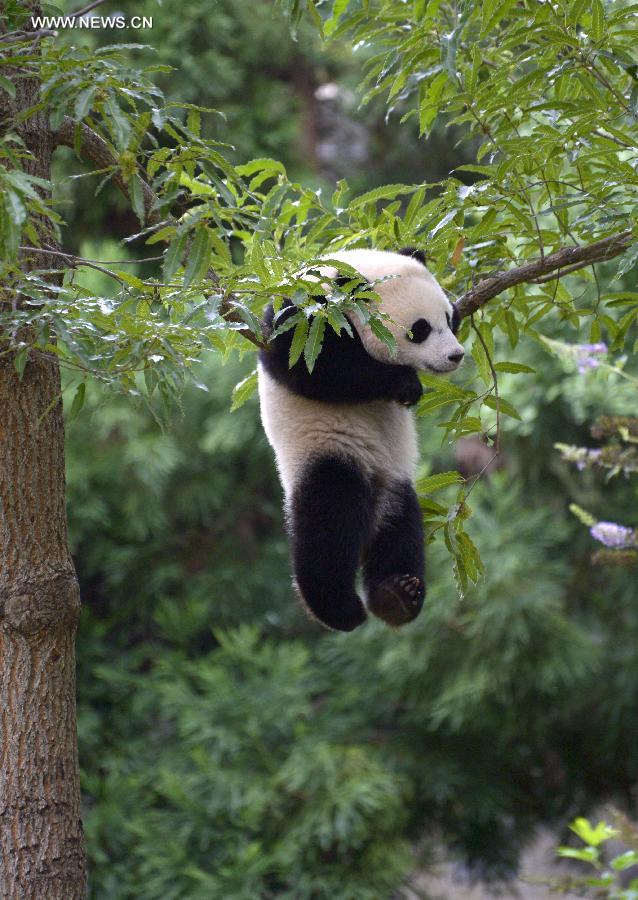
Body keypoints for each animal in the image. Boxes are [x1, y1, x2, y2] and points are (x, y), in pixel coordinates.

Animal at [258, 246, 464, 632]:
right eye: (420, 330)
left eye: (449, 318)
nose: (455, 355)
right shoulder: (304, 316)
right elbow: (313, 367)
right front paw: (404, 383)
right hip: (326, 450)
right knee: (328, 523)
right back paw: (339, 608)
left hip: (396, 480)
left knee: (400, 530)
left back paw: (396, 596)